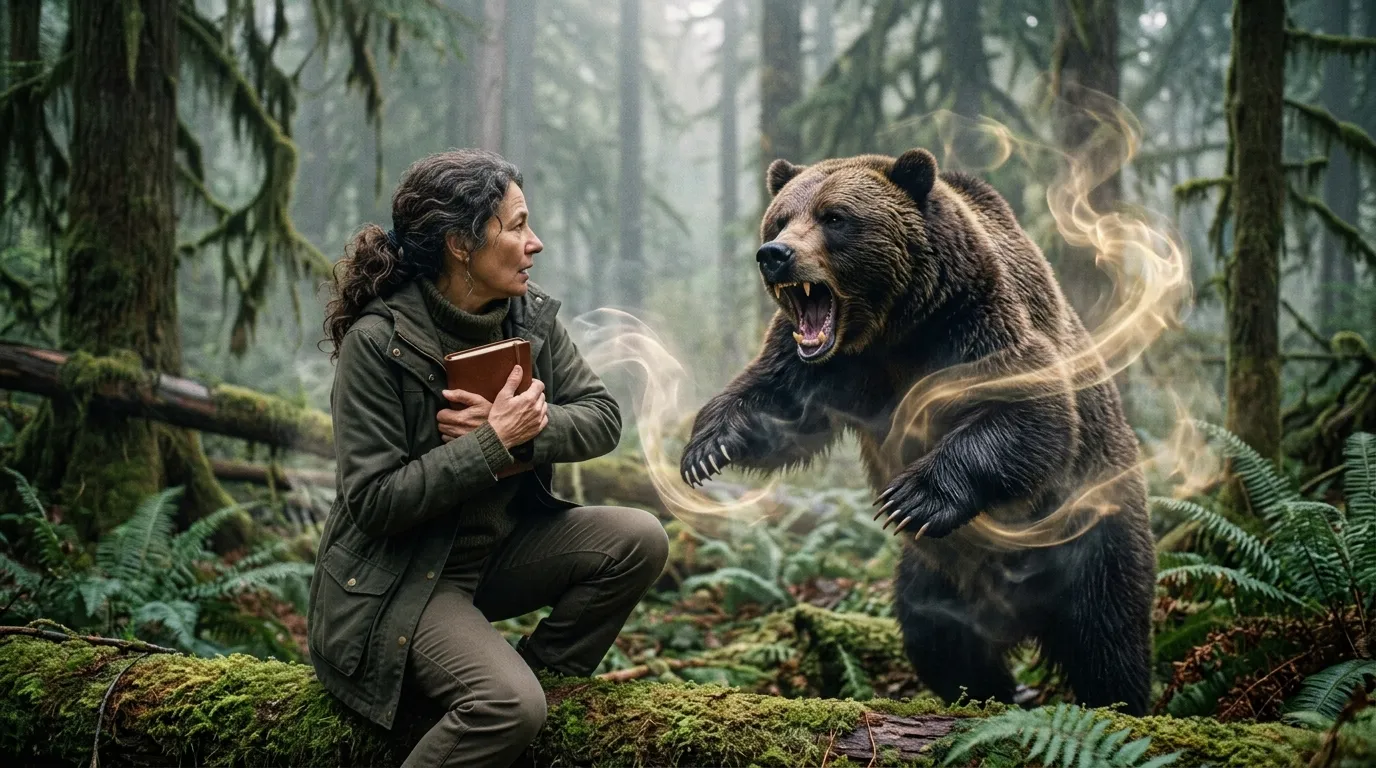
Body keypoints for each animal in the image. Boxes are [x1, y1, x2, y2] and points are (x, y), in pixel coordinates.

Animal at [680, 148, 1155, 715]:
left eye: (834, 217)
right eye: (780, 219)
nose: (774, 254)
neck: (895, 327)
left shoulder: (975, 324)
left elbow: (1033, 413)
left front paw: (913, 495)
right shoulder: (831, 366)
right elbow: (781, 404)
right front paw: (708, 446)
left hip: (1087, 532)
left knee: (1107, 638)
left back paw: (1117, 702)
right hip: (938, 574)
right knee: (936, 636)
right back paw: (989, 694)